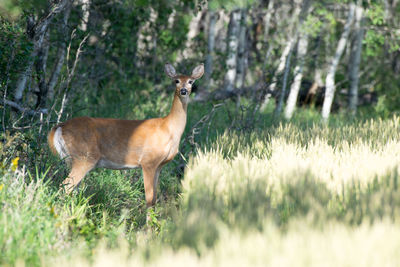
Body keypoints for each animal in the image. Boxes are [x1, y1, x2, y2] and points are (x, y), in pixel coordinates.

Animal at [47, 63, 203, 209]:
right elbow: (149, 199)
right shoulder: (148, 161)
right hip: (84, 157)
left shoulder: (159, 166)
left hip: (72, 159)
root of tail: (60, 127)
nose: (183, 91)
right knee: (65, 186)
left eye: (191, 81)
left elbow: (154, 200)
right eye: (176, 81)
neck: (168, 128)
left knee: (72, 189)